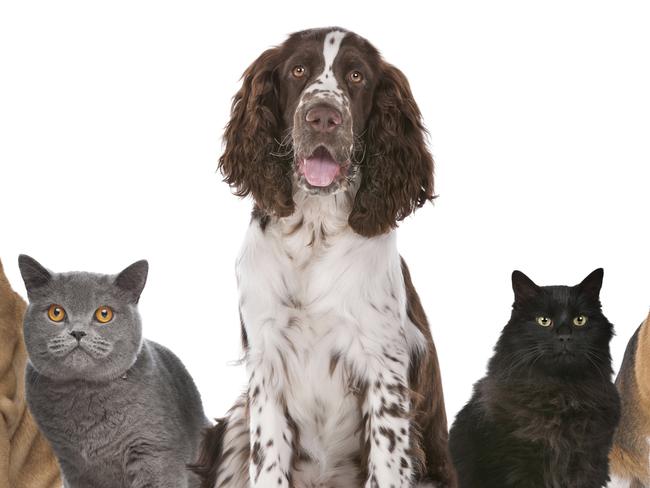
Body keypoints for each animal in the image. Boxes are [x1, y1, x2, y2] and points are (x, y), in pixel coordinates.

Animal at [18, 255, 208, 488]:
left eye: (104, 314)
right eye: (56, 312)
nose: (78, 332)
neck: (84, 395)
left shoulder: (154, 452)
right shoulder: (71, 464)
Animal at [191, 27, 456, 488]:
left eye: (356, 76)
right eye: (298, 70)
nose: (323, 117)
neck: (314, 234)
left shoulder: (384, 370)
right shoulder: (266, 365)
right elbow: (268, 463)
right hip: (236, 424)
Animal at [448, 268, 620, 488]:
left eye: (580, 320)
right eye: (543, 321)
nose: (565, 336)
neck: (561, 396)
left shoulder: (589, 463)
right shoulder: (519, 467)